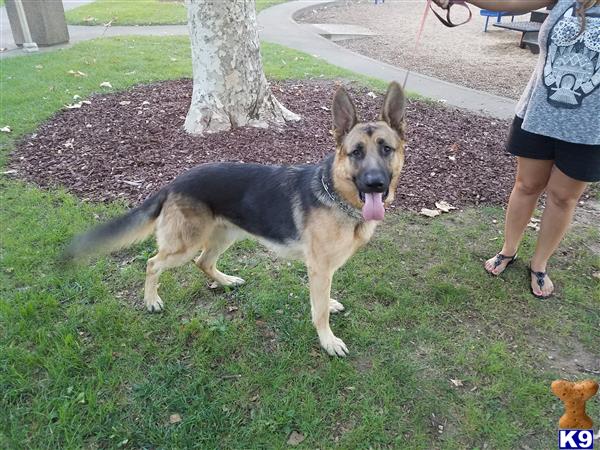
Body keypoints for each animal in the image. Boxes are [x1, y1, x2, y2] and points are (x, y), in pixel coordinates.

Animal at [67, 81, 408, 356]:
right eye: (356, 152)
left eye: (386, 149)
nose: (376, 184)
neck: (337, 194)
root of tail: (174, 182)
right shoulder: (319, 267)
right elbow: (319, 310)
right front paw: (328, 341)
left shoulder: (325, 269)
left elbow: (322, 300)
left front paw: (331, 305)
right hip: (184, 246)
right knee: (153, 263)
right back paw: (152, 300)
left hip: (225, 236)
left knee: (203, 263)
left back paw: (227, 281)